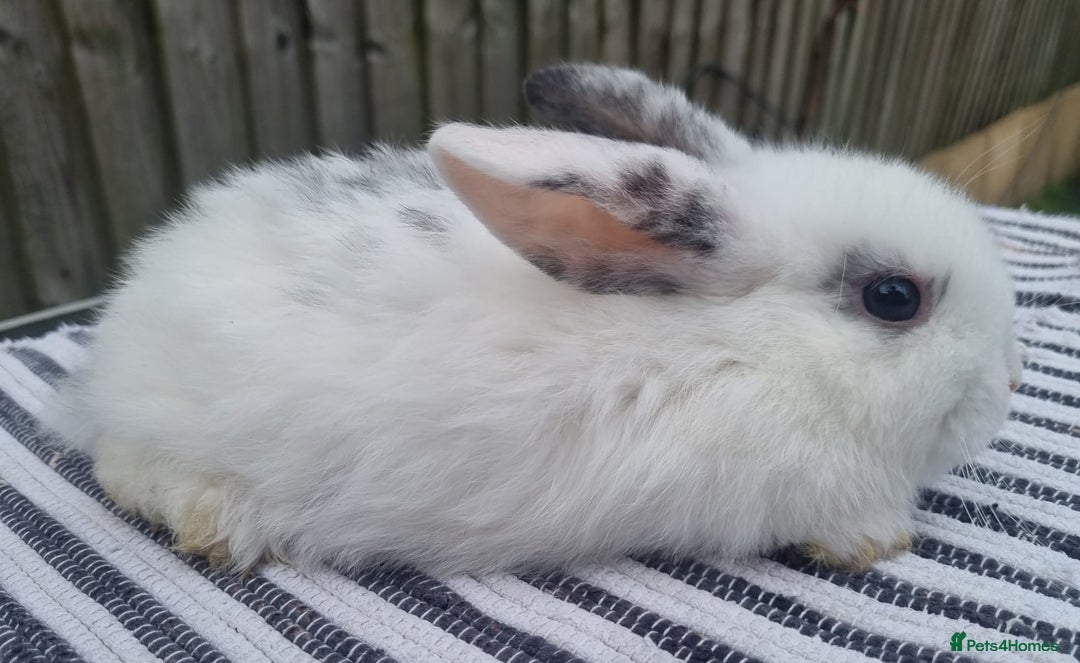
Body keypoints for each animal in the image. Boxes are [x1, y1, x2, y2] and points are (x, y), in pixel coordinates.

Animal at [40, 63, 1022, 575]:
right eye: (893, 297)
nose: (1010, 378)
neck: (757, 351)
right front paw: (880, 542)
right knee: (124, 465)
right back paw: (218, 521)